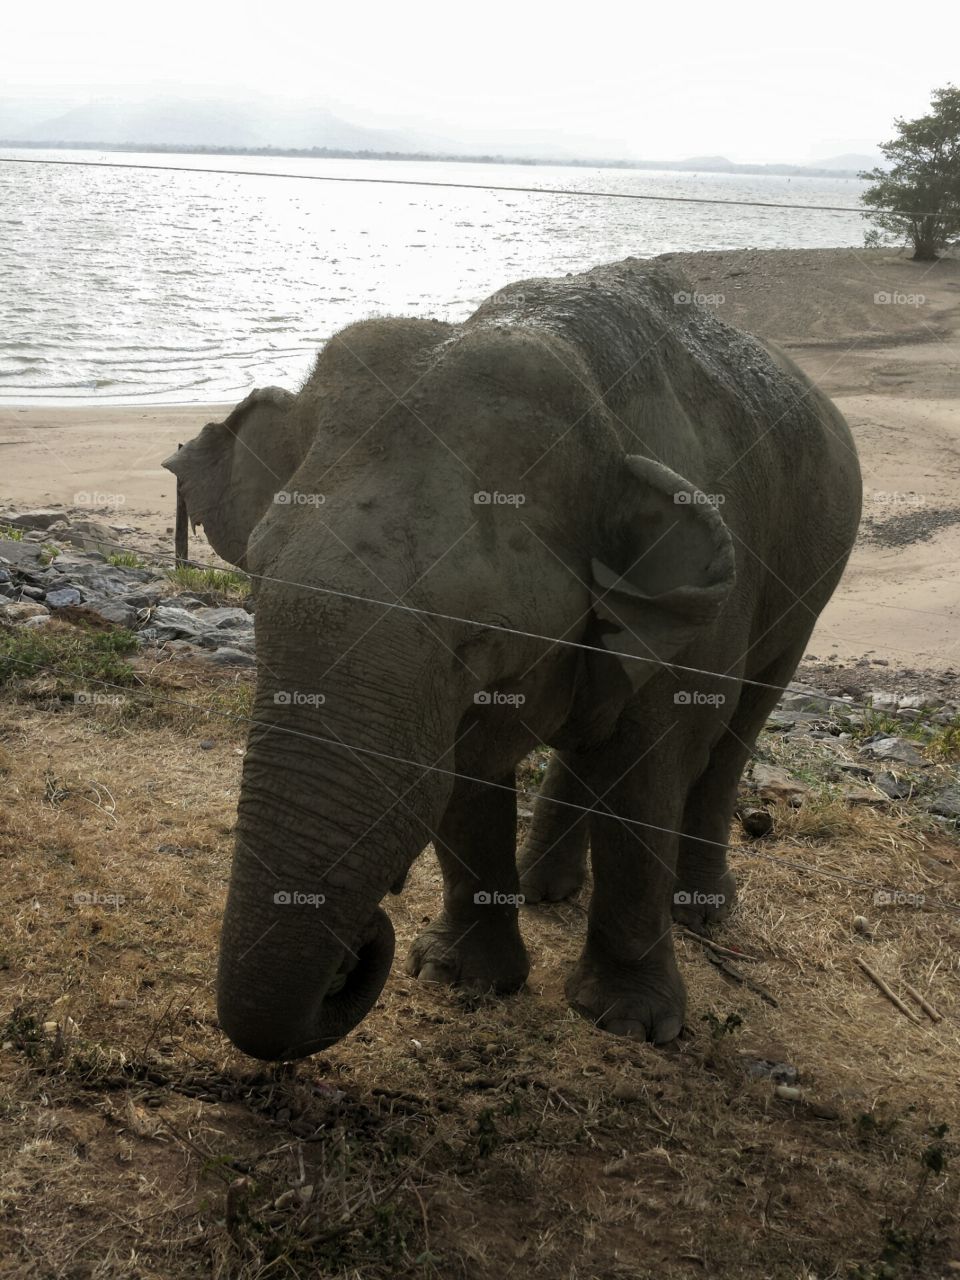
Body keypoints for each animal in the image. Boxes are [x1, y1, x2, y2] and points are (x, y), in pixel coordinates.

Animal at [165, 257, 865, 1059]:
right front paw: (459, 976)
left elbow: (648, 777)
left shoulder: (706, 610)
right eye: (258, 588)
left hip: (811, 581)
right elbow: (463, 778)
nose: (363, 944)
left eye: (477, 637)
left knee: (736, 730)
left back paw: (702, 912)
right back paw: (541, 887)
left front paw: (629, 1023)